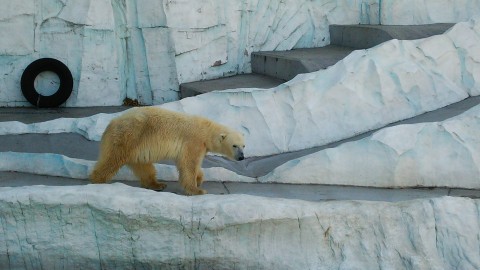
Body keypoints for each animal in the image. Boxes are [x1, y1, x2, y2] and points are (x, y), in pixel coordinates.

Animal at [90, 106, 246, 195]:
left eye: (243, 146)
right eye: (234, 145)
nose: (241, 157)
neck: (206, 130)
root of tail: (110, 124)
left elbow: (187, 164)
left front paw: (199, 179)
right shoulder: (193, 141)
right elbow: (189, 164)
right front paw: (197, 190)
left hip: (136, 148)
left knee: (144, 167)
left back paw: (157, 184)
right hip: (128, 137)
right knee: (112, 159)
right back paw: (98, 180)